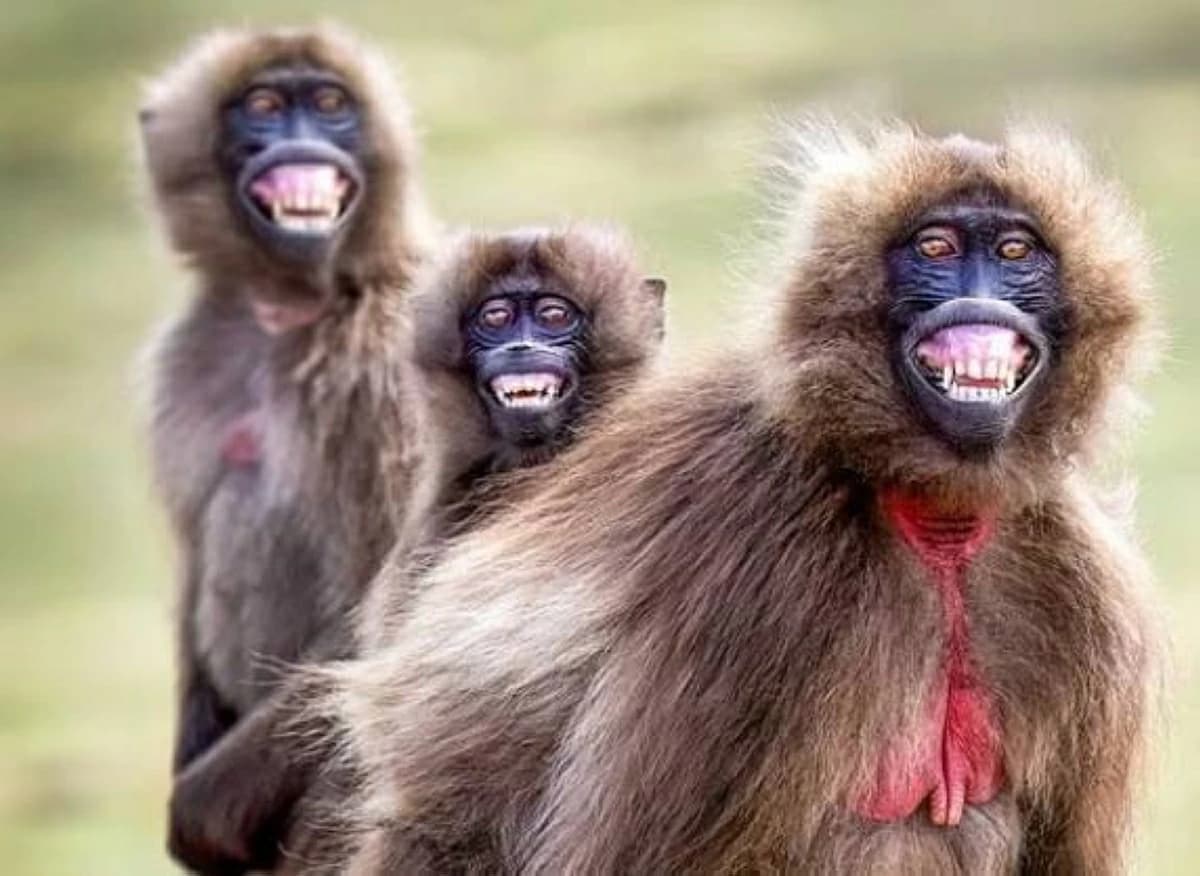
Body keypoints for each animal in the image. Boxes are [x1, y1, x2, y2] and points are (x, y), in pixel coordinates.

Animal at [136, 25, 435, 873]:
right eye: (264, 106)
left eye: (330, 104)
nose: (298, 143)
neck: (290, 309)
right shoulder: (190, 355)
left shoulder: (388, 366)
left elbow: (389, 610)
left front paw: (202, 812)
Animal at [326, 122, 1163, 875]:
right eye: (937, 250)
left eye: (1015, 253)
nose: (979, 301)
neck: (931, 508)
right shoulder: (760, 577)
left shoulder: (1083, 573)